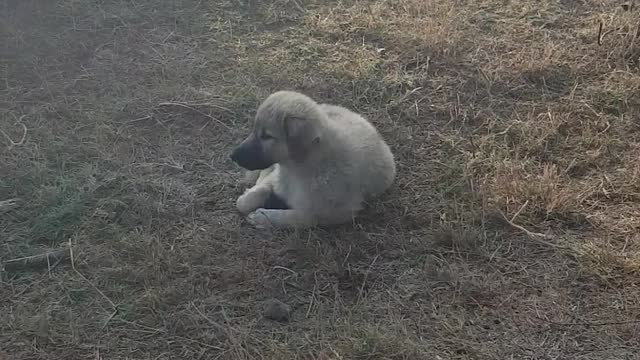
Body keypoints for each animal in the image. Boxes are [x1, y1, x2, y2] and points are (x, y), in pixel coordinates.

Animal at [228, 91, 398, 229]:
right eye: (254, 131)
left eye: (266, 136)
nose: (232, 156)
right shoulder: (278, 177)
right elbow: (247, 200)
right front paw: (249, 198)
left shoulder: (322, 214)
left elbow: (292, 217)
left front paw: (262, 217)